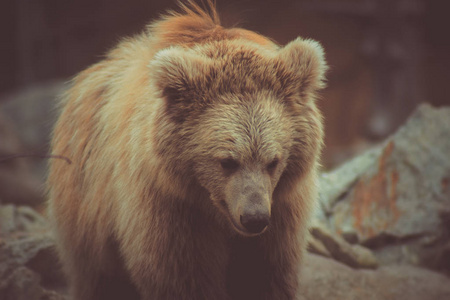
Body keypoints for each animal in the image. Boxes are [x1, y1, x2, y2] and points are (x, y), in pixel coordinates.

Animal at [46, 1, 326, 298]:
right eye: (227, 161)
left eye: (274, 161)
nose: (254, 218)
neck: (213, 209)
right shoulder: (169, 210)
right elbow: (182, 276)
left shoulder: (282, 213)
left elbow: (266, 273)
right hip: (86, 209)